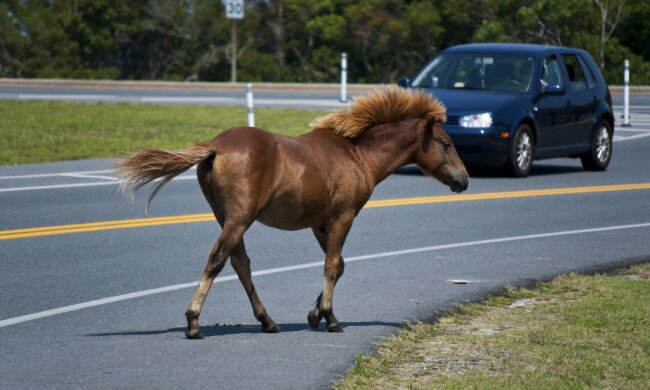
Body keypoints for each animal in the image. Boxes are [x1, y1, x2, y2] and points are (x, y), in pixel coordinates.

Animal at [117, 85, 466, 338]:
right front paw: (330, 318)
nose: (463, 180)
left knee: (240, 263)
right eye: (447, 143)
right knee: (218, 260)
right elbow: (332, 266)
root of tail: (216, 146)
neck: (357, 154)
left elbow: (338, 266)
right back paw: (193, 322)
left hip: (227, 218)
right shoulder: (343, 217)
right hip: (239, 219)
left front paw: (315, 314)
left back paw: (267, 321)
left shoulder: (320, 223)